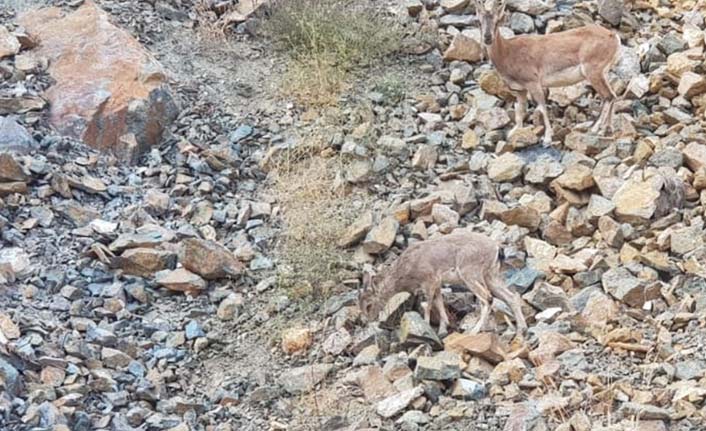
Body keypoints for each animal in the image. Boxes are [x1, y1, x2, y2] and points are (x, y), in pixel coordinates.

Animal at [358, 231, 524, 336]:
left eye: (369, 305)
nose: (365, 322)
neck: (407, 268)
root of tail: (496, 248)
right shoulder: (437, 285)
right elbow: (439, 304)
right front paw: (444, 329)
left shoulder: (429, 281)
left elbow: (429, 305)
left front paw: (426, 328)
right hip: (491, 276)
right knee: (511, 297)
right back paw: (522, 328)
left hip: (470, 274)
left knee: (487, 299)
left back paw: (474, 331)